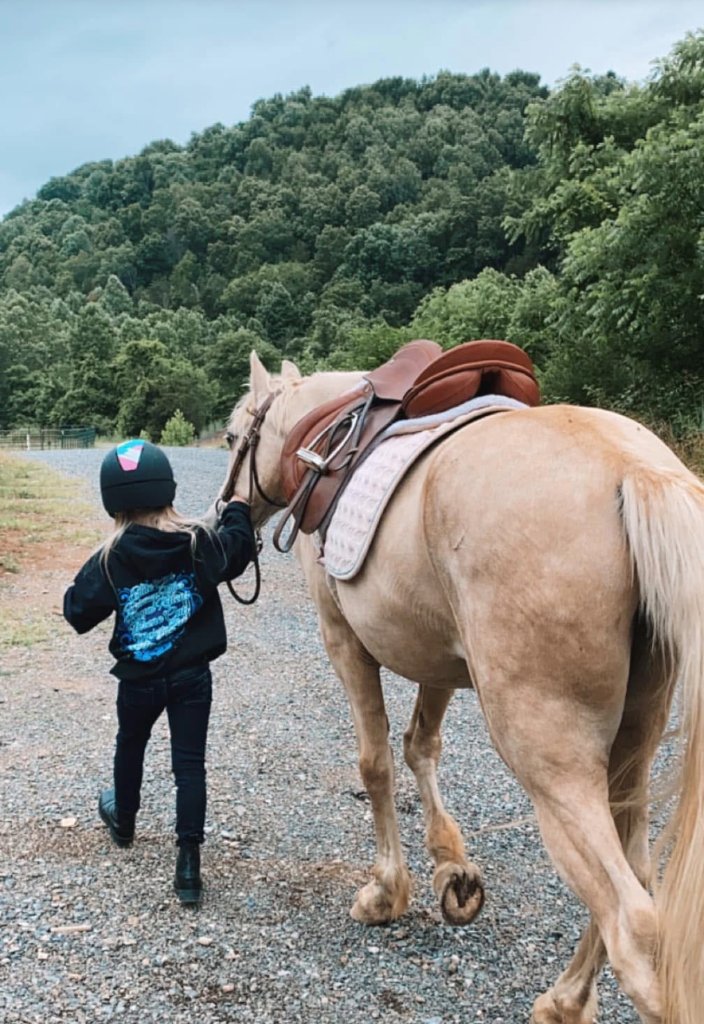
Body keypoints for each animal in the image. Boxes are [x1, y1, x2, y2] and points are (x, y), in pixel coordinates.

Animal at [217, 349, 704, 1024]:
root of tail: (634, 469)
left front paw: (386, 892)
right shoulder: (440, 658)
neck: (327, 438)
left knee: (632, 924)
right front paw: (453, 870)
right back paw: (564, 1000)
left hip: (548, 756)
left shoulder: (344, 642)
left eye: (233, 437)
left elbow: (375, 763)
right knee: (634, 874)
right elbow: (420, 746)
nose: (224, 516)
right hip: (636, 739)